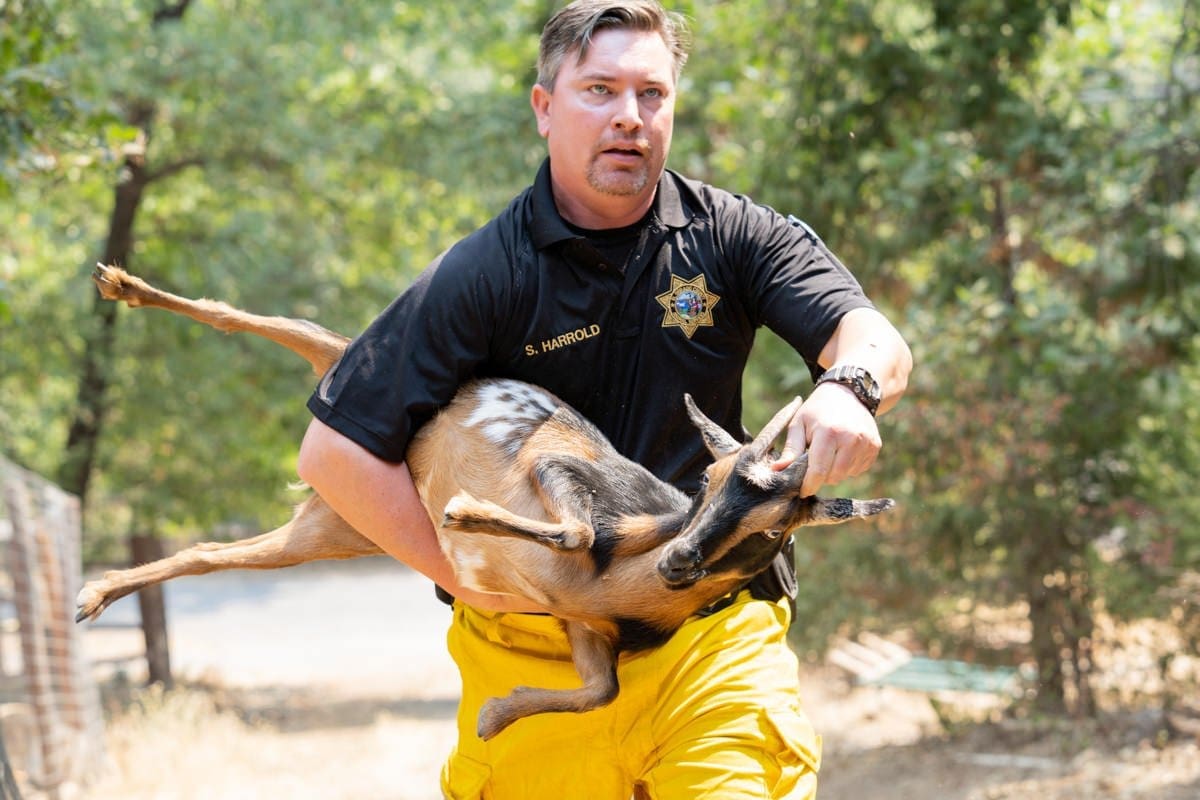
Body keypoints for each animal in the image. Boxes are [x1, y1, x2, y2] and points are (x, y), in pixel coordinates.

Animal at [75, 266, 897, 743]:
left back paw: (93, 594)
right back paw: (120, 284)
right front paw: (466, 516)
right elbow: (574, 531)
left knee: (209, 552)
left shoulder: (583, 625)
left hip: (327, 531)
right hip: (344, 363)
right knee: (250, 317)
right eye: (706, 480)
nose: (680, 561)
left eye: (774, 527)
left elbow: (600, 690)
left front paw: (496, 718)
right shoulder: (563, 470)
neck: (625, 579)